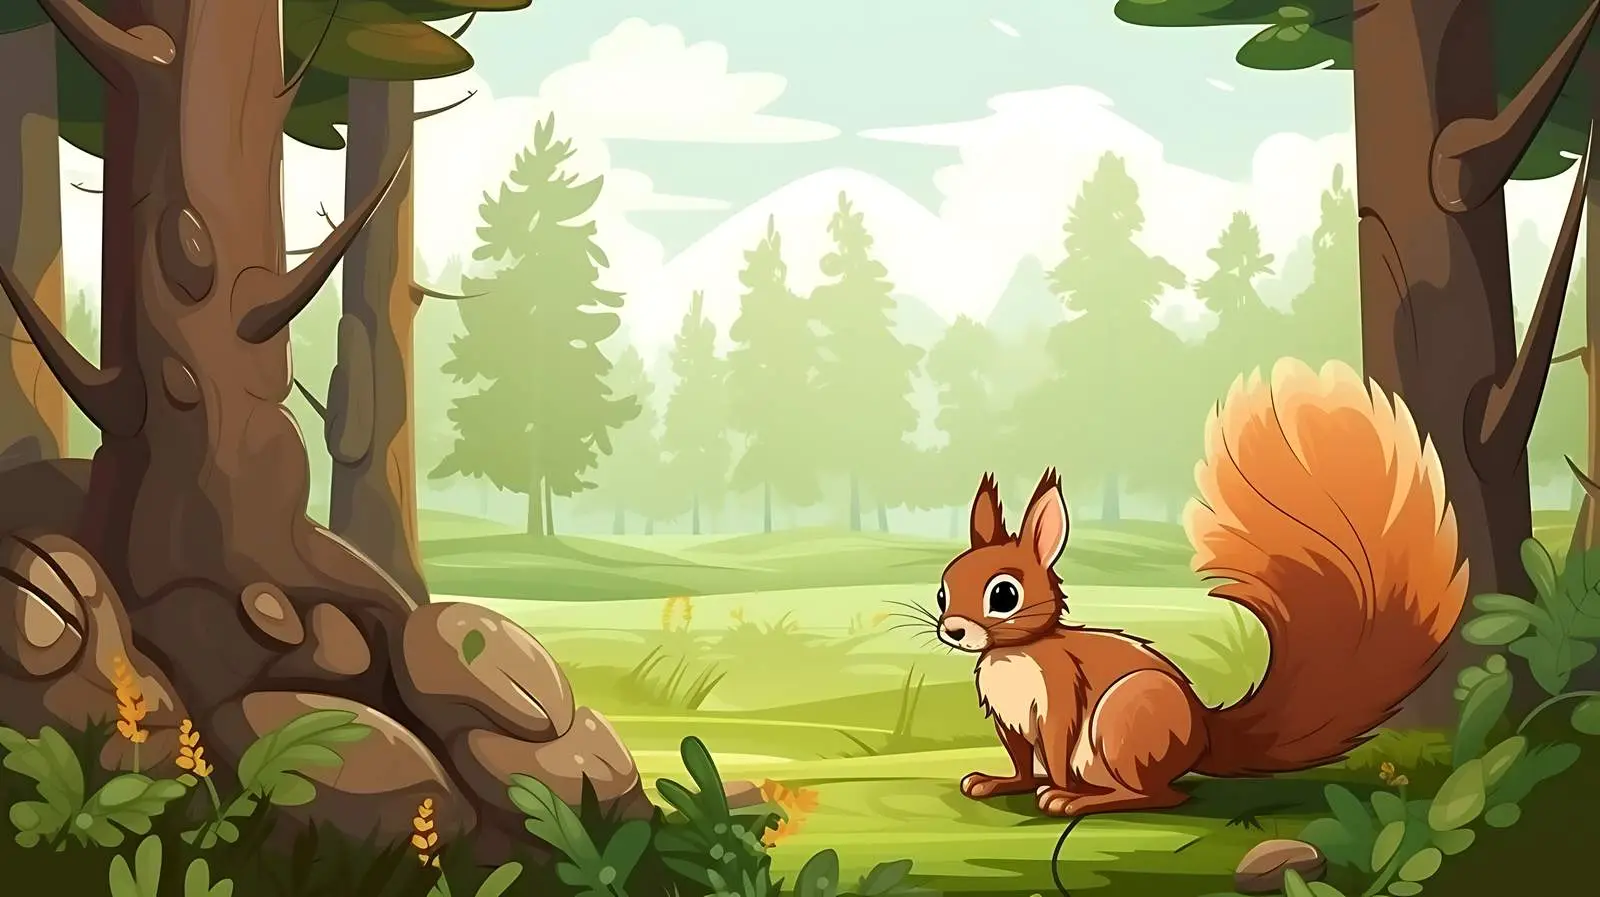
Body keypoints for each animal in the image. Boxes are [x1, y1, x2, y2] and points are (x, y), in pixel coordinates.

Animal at [935, 358, 1470, 819]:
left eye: (1004, 596)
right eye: (943, 592)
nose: (953, 630)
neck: (1015, 653)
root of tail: (1204, 736)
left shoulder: (1061, 697)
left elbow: (1057, 749)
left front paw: (1057, 790)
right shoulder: (1008, 720)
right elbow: (1021, 760)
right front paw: (1000, 782)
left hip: (1124, 723)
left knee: (1160, 796)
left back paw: (1082, 799)